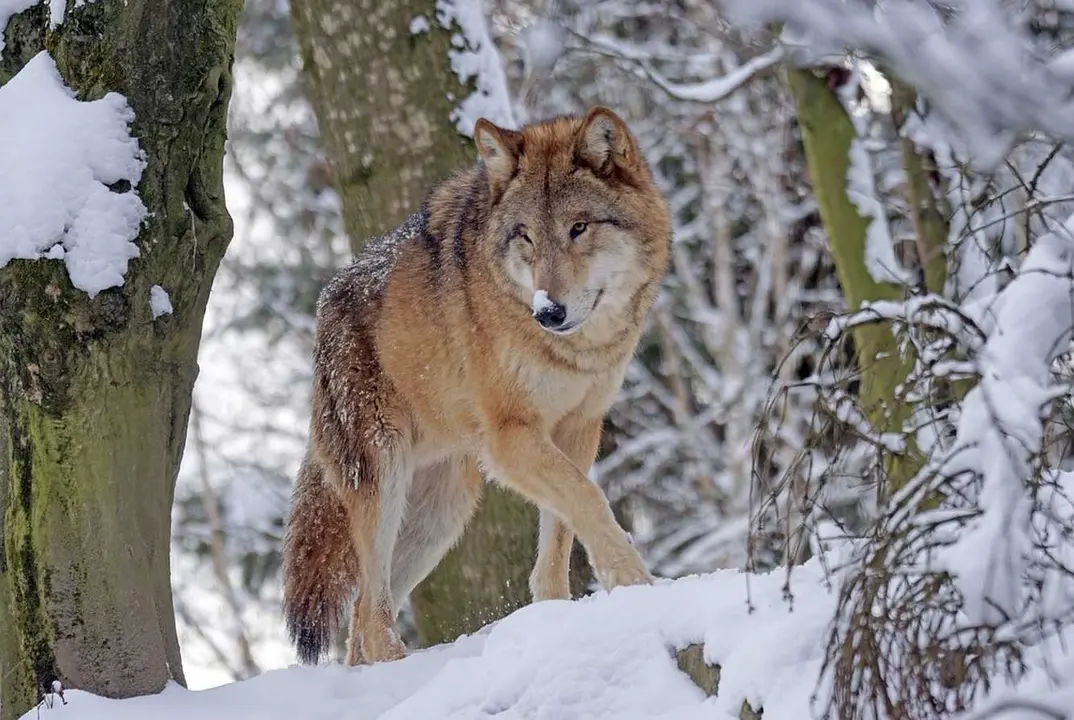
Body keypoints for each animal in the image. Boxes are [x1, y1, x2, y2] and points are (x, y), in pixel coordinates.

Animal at [285, 105, 670, 666]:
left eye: (579, 228)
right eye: (526, 236)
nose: (548, 312)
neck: (576, 352)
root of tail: (326, 304)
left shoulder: (579, 428)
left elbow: (561, 532)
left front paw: (558, 615)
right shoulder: (511, 437)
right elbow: (590, 500)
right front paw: (636, 584)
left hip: (442, 513)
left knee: (360, 619)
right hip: (384, 480)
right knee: (371, 615)